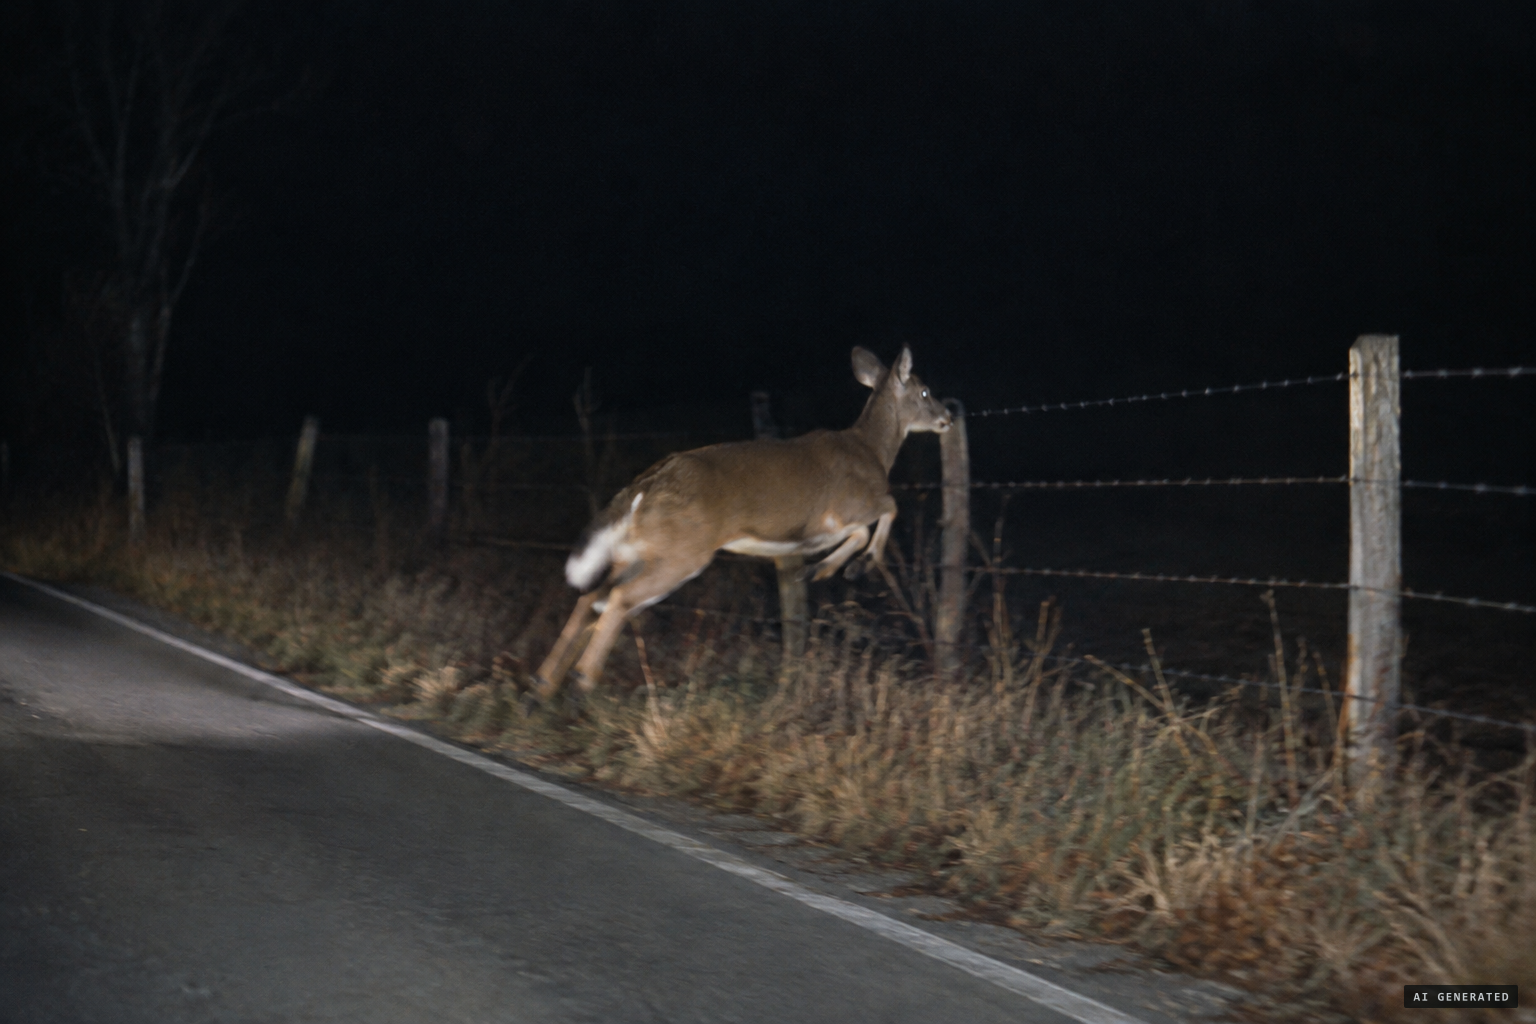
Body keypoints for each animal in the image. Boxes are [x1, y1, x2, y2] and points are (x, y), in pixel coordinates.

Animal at [532, 346, 951, 703]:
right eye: (926, 391)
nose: (948, 417)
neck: (873, 453)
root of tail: (645, 486)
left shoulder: (832, 520)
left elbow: (864, 528)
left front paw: (818, 571)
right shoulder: (847, 506)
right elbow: (887, 510)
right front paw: (850, 567)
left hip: (638, 551)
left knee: (592, 597)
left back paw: (542, 686)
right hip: (683, 553)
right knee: (618, 599)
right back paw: (580, 681)